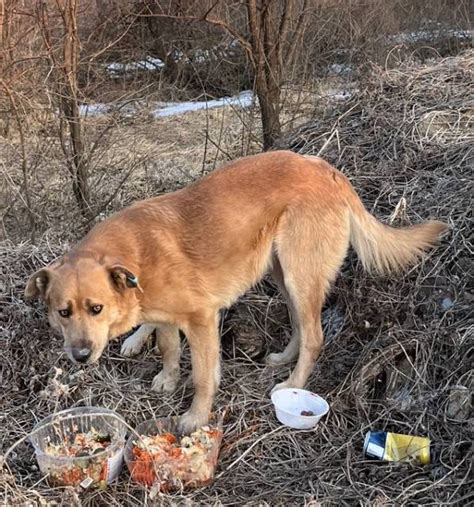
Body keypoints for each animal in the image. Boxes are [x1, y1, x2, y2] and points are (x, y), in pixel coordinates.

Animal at [25, 152, 448, 432]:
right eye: (63, 312)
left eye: (96, 308)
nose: (80, 356)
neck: (136, 259)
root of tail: (326, 169)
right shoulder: (168, 318)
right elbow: (167, 346)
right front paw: (168, 378)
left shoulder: (200, 319)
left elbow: (202, 376)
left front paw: (195, 417)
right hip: (282, 273)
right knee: (300, 324)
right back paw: (282, 359)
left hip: (299, 273)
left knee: (315, 335)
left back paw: (292, 385)